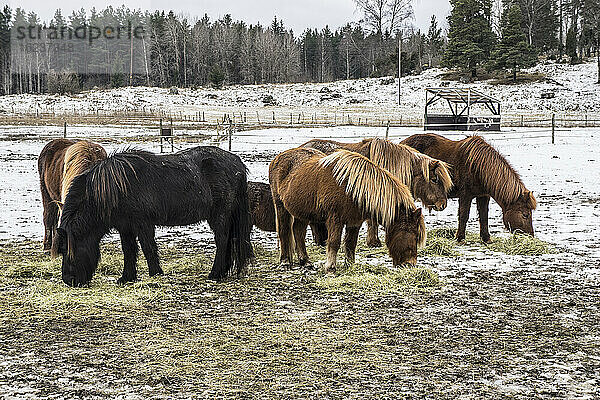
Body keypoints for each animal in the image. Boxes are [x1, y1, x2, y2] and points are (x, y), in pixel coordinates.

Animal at [56, 147, 253, 288]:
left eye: (68, 249)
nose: (68, 280)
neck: (116, 189)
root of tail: (237, 163)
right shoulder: (125, 226)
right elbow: (129, 250)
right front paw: (127, 278)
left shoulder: (143, 224)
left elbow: (148, 248)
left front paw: (155, 274)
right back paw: (223, 272)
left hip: (220, 215)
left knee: (222, 240)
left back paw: (215, 274)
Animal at [268, 147, 426, 272]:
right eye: (413, 235)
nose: (409, 264)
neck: (353, 187)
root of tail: (278, 158)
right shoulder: (335, 219)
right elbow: (334, 242)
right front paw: (330, 268)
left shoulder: (354, 222)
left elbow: (350, 243)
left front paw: (350, 265)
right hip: (281, 207)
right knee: (284, 232)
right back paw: (285, 261)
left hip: (302, 212)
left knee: (298, 232)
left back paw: (305, 261)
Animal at [400, 134, 536, 244]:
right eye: (525, 214)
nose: (530, 236)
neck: (478, 167)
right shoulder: (465, 196)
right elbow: (464, 216)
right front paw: (460, 238)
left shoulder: (483, 196)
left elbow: (484, 216)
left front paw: (486, 238)